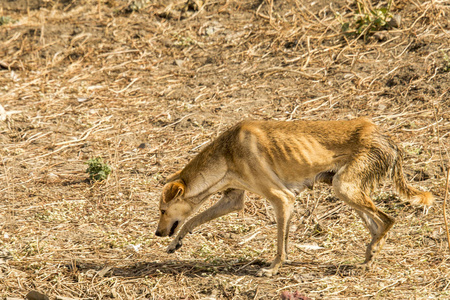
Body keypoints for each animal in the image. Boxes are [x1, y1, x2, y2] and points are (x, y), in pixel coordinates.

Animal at [155, 118, 432, 278]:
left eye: (162, 210)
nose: (158, 233)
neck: (226, 153)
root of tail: (389, 139)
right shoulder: (232, 200)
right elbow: (191, 221)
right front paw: (175, 244)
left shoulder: (283, 199)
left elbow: (280, 245)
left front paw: (273, 269)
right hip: (346, 189)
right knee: (376, 226)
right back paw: (368, 259)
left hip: (343, 188)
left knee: (388, 220)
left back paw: (372, 253)